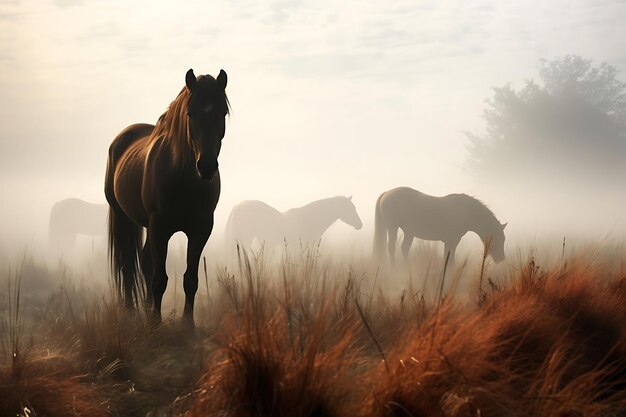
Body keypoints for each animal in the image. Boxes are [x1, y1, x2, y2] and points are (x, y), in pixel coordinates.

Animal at [105, 68, 229, 324]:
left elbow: (190, 279)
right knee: (128, 265)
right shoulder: (160, 227)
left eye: (222, 112)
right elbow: (159, 278)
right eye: (190, 113)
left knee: (143, 261)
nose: (206, 167)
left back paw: (145, 307)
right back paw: (131, 311)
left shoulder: (201, 230)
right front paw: (155, 323)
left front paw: (188, 324)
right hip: (122, 216)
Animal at [372, 186, 504, 264]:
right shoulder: (451, 241)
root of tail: (386, 193)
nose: (501, 259)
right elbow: (449, 261)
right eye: (499, 239)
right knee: (391, 247)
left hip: (409, 232)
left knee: (404, 248)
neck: (465, 211)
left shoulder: (451, 242)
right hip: (392, 228)